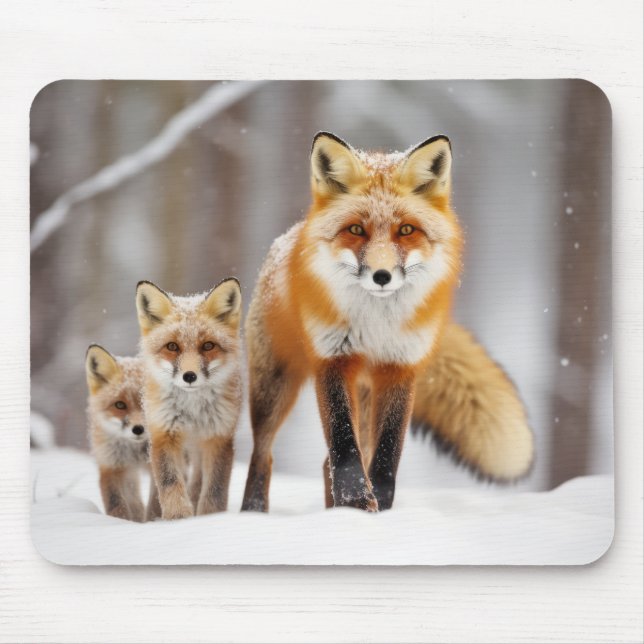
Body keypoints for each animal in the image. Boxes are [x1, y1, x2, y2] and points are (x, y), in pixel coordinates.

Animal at [85, 345, 160, 521]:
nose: (138, 429)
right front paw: (120, 523)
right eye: (120, 405)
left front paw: (155, 523)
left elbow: (156, 503)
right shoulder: (111, 464)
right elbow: (116, 504)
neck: (137, 451)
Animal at [135, 278, 242, 520]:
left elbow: (215, 489)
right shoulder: (164, 433)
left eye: (208, 345)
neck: (193, 410)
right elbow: (170, 483)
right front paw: (178, 518)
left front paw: (210, 517)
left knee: (198, 480)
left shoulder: (219, 435)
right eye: (172, 346)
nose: (189, 376)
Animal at [241, 132, 534, 513]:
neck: (376, 324)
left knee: (329, 461)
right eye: (356, 229)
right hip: (274, 386)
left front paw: (376, 504)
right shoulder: (332, 360)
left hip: (364, 397)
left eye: (406, 230)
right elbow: (343, 446)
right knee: (264, 454)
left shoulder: (400, 367)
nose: (382, 276)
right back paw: (254, 512)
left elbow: (385, 454)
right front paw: (355, 500)